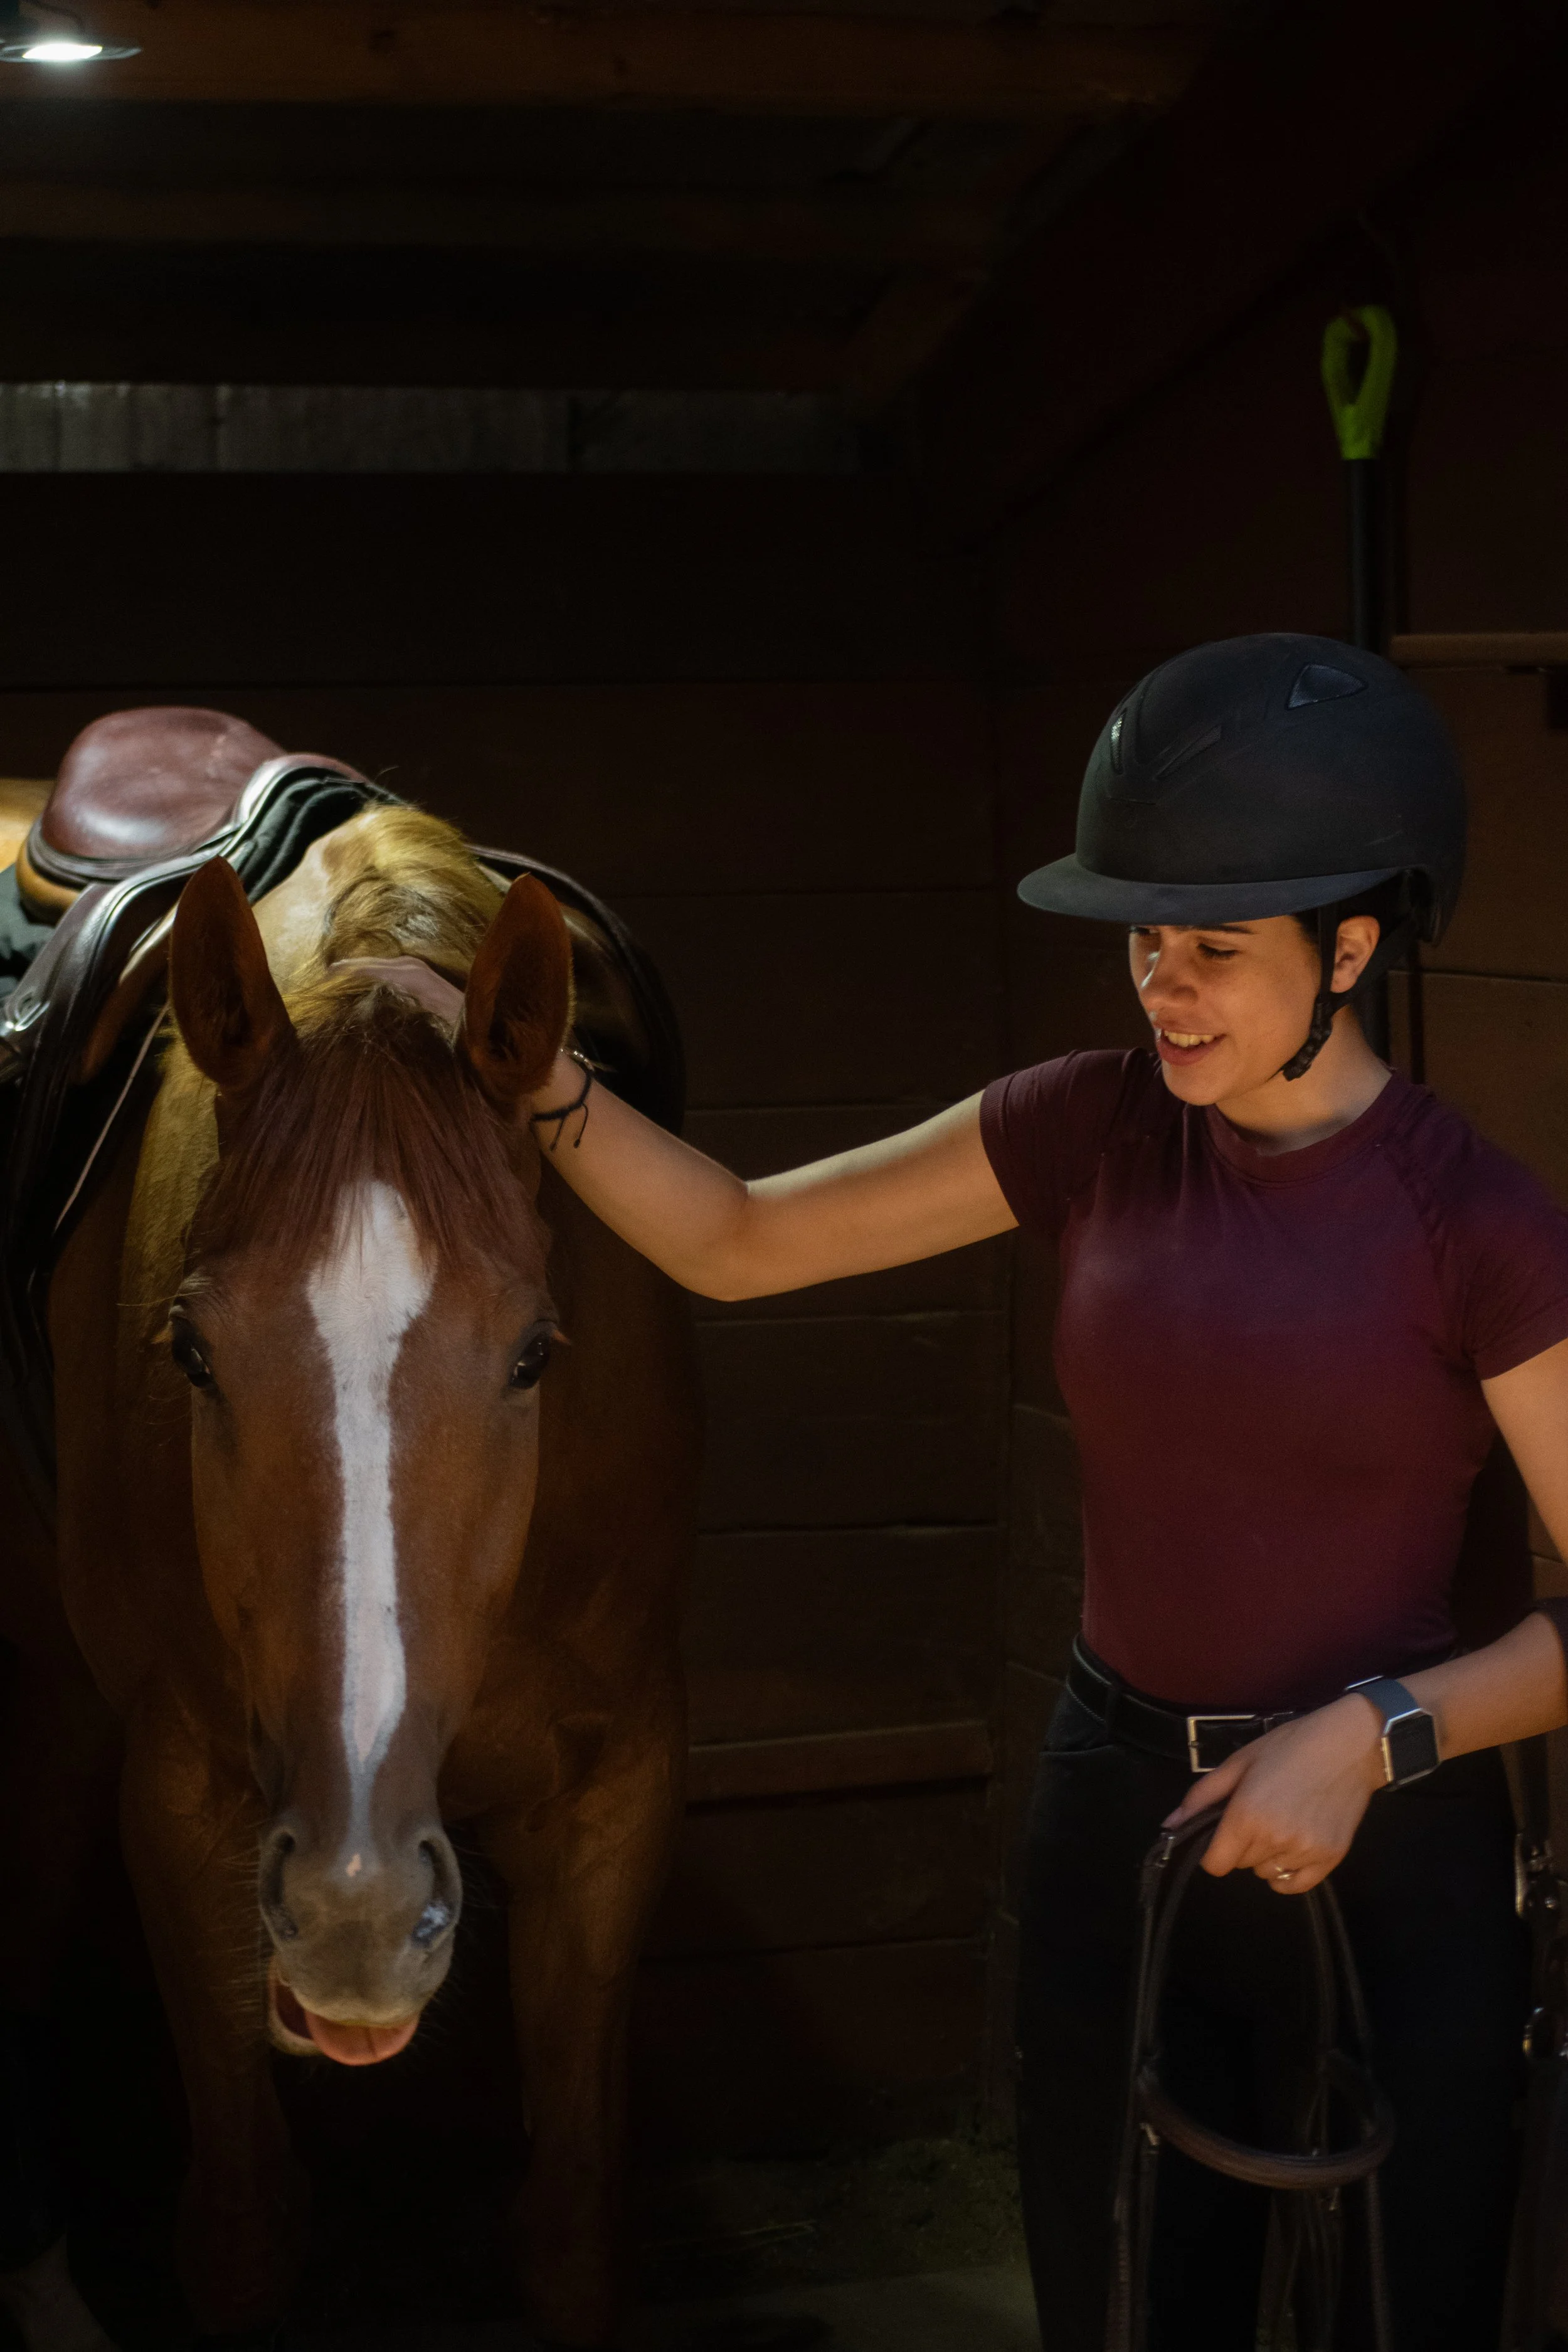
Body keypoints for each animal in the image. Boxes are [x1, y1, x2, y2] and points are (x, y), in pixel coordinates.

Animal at [2, 802, 700, 2346]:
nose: (356, 1911)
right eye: (191, 1351)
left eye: (533, 1354)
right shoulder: (184, 1812)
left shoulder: (607, 1805)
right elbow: (244, 2234)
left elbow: (570, 2236)